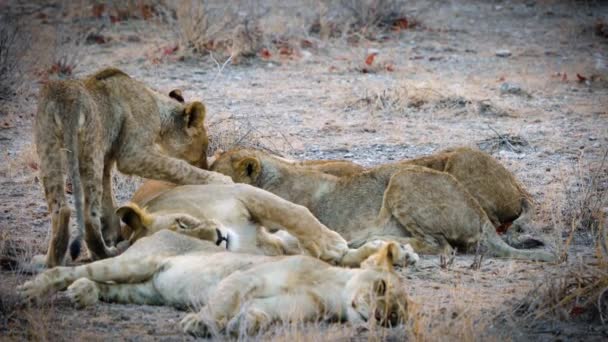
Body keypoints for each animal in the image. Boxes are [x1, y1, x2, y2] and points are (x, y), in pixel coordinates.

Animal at [19, 227, 410, 336]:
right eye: (382, 289)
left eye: (398, 315)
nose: (384, 318)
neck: (329, 290)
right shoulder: (245, 277)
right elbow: (222, 301)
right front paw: (199, 324)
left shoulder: (283, 309)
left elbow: (258, 316)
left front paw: (242, 326)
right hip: (136, 263)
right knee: (71, 272)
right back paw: (33, 290)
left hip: (143, 289)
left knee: (105, 288)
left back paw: (83, 295)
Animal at [34, 68, 232, 268]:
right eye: (203, 150)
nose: (206, 165)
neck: (156, 108)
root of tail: (64, 101)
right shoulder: (131, 155)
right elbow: (177, 166)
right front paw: (220, 179)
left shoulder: (107, 157)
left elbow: (108, 201)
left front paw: (114, 234)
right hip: (90, 148)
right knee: (89, 215)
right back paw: (107, 254)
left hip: (48, 149)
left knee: (61, 209)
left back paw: (51, 262)